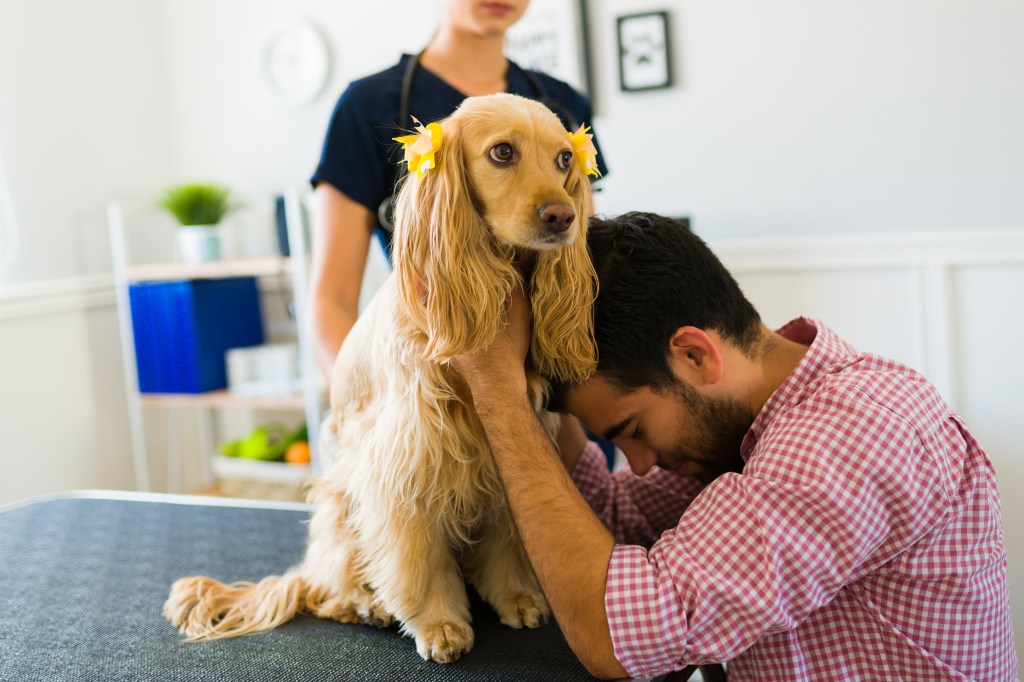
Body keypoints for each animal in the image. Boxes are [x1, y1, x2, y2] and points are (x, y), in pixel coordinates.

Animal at [163, 93, 598, 659]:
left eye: (565, 158)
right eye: (502, 152)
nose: (563, 216)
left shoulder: (500, 453)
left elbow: (507, 538)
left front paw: (517, 596)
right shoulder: (402, 464)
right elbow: (416, 559)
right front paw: (439, 624)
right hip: (339, 507)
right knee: (324, 588)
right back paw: (362, 604)